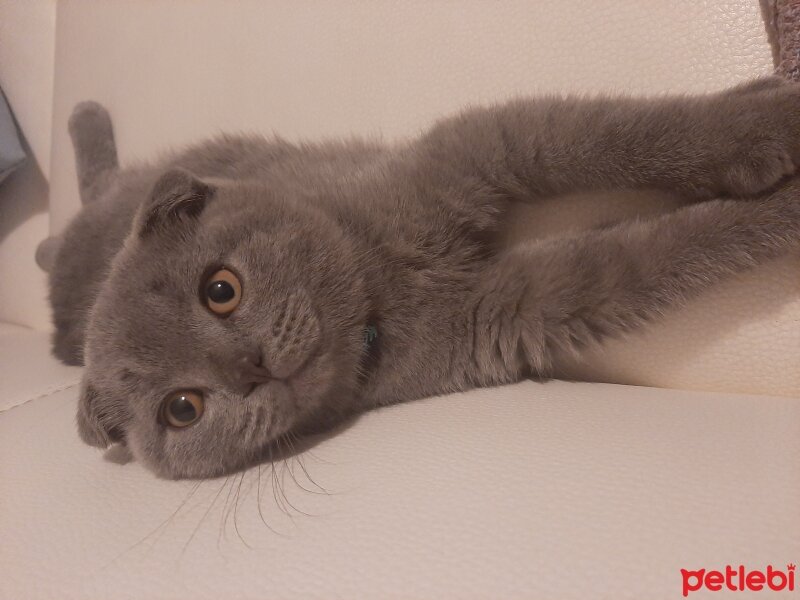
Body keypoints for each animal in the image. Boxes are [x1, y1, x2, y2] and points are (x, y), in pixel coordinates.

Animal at [48, 76, 800, 478]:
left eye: (220, 290)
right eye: (183, 409)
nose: (251, 367)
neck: (381, 288)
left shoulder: (481, 149)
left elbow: (616, 135)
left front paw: (772, 124)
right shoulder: (526, 305)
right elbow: (658, 250)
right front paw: (785, 203)